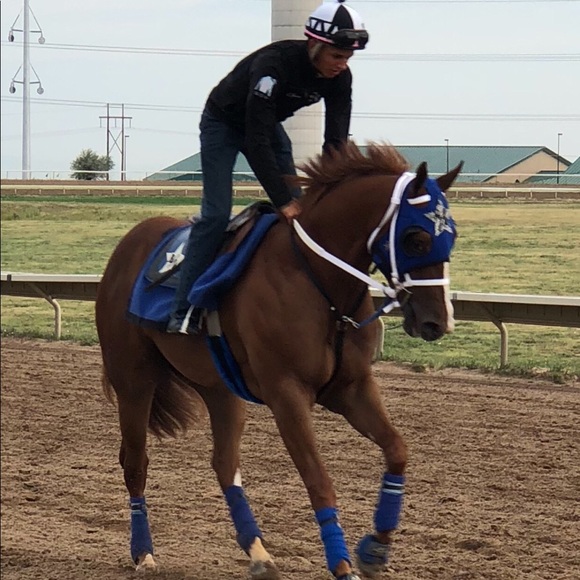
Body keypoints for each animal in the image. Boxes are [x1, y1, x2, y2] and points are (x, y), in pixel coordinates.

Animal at [95, 141, 462, 580]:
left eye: (451, 236)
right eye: (415, 238)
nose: (437, 321)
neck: (322, 284)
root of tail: (128, 244)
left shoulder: (351, 388)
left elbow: (397, 450)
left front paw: (375, 549)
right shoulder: (288, 394)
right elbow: (319, 481)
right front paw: (342, 565)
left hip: (219, 388)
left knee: (223, 463)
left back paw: (258, 553)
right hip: (134, 380)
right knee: (135, 462)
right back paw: (144, 554)